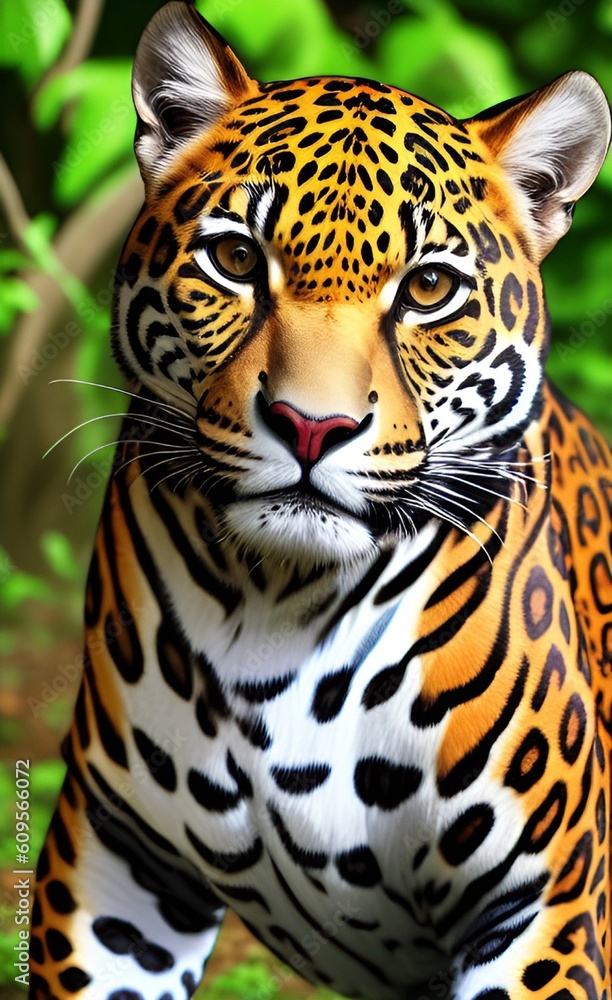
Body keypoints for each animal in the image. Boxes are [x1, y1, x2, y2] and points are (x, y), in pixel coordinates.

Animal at [30, 2, 612, 998]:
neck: (280, 604)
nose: (311, 426)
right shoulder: (117, 872)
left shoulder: (541, 908)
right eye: (234, 258)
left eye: (429, 287)